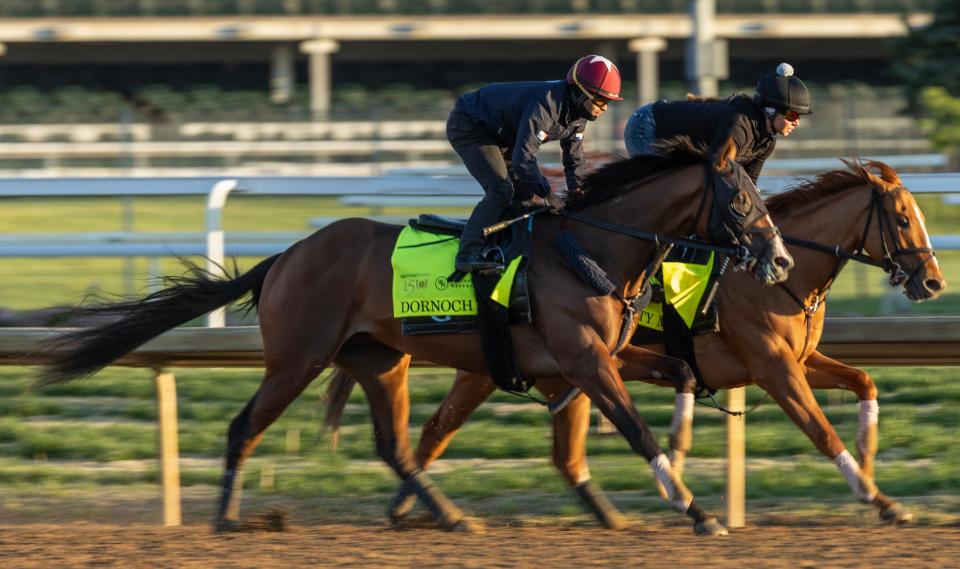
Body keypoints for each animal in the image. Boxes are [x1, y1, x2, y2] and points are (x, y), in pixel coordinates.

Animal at [37, 140, 792, 536]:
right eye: (743, 200)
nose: (781, 259)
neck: (590, 247)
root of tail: (285, 255)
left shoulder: (598, 356)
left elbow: (675, 378)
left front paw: (684, 452)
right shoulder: (583, 358)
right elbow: (634, 429)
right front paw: (697, 510)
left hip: (380, 361)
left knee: (394, 445)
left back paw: (451, 515)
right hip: (298, 358)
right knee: (243, 425)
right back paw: (227, 517)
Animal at [326, 159, 940, 528]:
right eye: (904, 219)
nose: (933, 282)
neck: (783, 278)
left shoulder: (801, 358)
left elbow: (865, 381)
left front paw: (869, 459)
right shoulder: (773, 366)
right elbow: (818, 428)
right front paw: (878, 498)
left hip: (530, 365)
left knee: (459, 433)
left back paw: (415, 504)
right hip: (510, 363)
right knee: (438, 429)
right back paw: (419, 505)